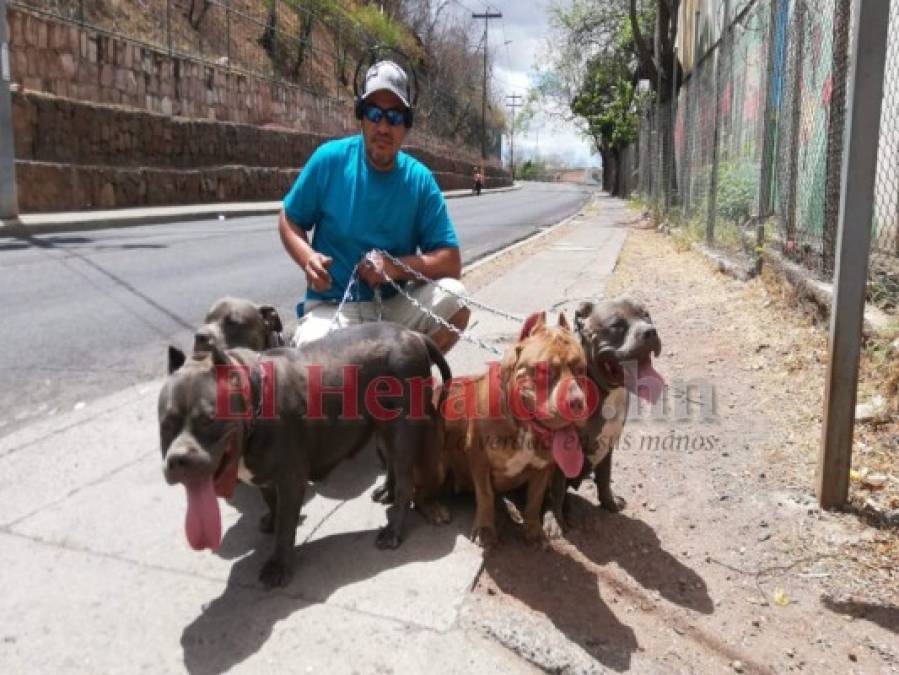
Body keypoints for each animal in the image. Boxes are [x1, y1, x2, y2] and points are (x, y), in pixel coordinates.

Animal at [160, 322, 450, 588]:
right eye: (166, 424)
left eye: (208, 420)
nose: (178, 460)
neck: (252, 397)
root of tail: (414, 334)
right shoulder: (266, 476)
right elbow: (272, 504)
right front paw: (273, 521)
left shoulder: (291, 479)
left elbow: (286, 524)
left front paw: (278, 564)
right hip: (383, 429)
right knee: (390, 461)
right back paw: (386, 491)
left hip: (402, 429)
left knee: (405, 481)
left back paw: (392, 531)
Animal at [436, 314, 592, 548]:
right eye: (544, 370)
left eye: (581, 369)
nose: (577, 402)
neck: (522, 426)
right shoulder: (479, 460)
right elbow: (485, 496)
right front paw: (485, 529)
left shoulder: (544, 467)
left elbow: (535, 500)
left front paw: (534, 531)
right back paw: (437, 509)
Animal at [544, 296, 664, 528]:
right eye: (616, 325)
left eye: (646, 315)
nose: (651, 331)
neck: (606, 390)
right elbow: (556, 490)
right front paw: (557, 521)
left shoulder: (609, 442)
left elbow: (605, 477)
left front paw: (610, 503)